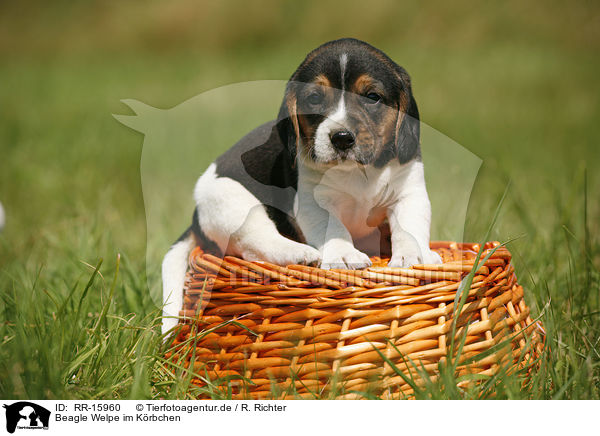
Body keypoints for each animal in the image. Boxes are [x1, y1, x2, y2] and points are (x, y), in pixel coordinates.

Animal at [163, 39, 440, 332]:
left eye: (372, 97)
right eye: (315, 98)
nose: (341, 138)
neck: (355, 172)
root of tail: (195, 217)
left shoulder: (409, 193)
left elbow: (409, 228)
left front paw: (413, 257)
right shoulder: (312, 202)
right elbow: (333, 228)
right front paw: (343, 254)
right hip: (231, 201)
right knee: (255, 243)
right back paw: (300, 254)